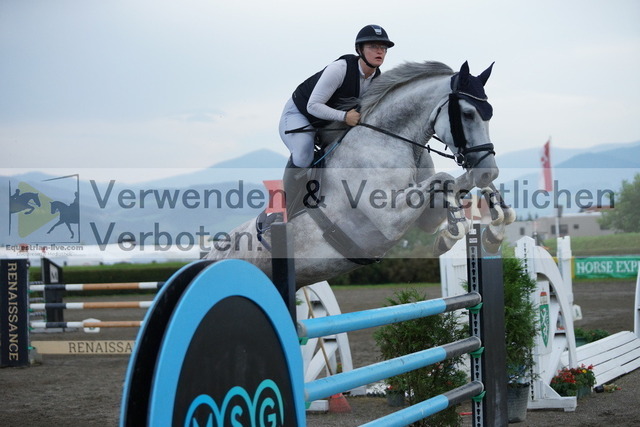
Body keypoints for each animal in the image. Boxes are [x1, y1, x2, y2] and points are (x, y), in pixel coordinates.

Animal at [206, 61, 515, 288]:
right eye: (468, 113)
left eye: (489, 113)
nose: (488, 170)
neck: (390, 141)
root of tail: (212, 253)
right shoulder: (388, 217)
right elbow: (446, 181)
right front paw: (454, 232)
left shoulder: (424, 216)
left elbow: (454, 184)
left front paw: (494, 227)